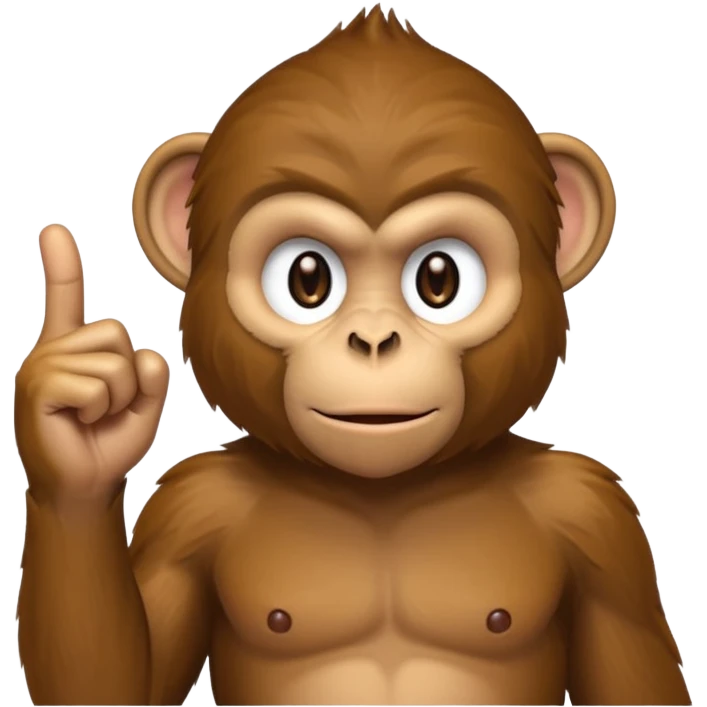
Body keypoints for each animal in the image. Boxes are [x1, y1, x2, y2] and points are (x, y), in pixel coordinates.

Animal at [14, 4, 691, 706]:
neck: (383, 493)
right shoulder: (190, 510)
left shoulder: (595, 521)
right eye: (307, 279)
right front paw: (78, 436)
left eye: (439, 279)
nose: (371, 339)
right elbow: (123, 686)